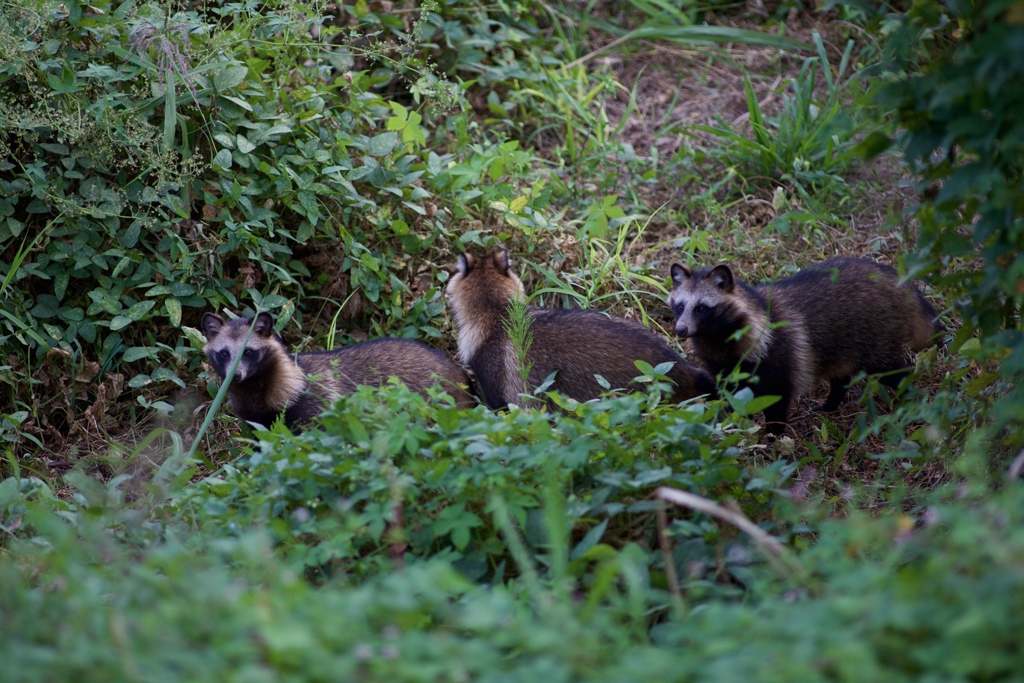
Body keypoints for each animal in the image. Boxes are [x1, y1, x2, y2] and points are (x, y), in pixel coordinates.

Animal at [201, 313, 477, 430]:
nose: (235, 376)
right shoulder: (253, 418)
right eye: (224, 353)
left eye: (248, 352)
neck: (253, 388)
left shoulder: (313, 406)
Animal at [667, 255, 937, 432]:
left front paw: (773, 436)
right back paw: (831, 403)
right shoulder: (722, 364)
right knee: (841, 373)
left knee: (890, 370)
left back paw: (909, 394)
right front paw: (737, 424)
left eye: (702, 308)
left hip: (878, 332)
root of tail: (899, 281)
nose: (681, 330)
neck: (715, 337)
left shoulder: (776, 351)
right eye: (680, 306)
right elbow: (733, 395)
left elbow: (777, 397)